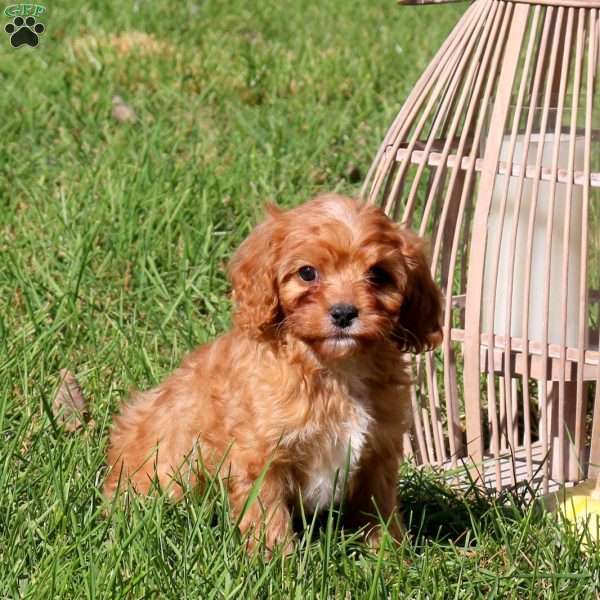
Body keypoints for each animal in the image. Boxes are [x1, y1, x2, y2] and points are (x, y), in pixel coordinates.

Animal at [103, 195, 442, 552]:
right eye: (307, 273)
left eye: (378, 274)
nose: (344, 312)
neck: (336, 369)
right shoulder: (261, 454)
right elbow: (269, 514)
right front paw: (278, 559)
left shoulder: (379, 452)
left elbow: (379, 507)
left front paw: (391, 553)